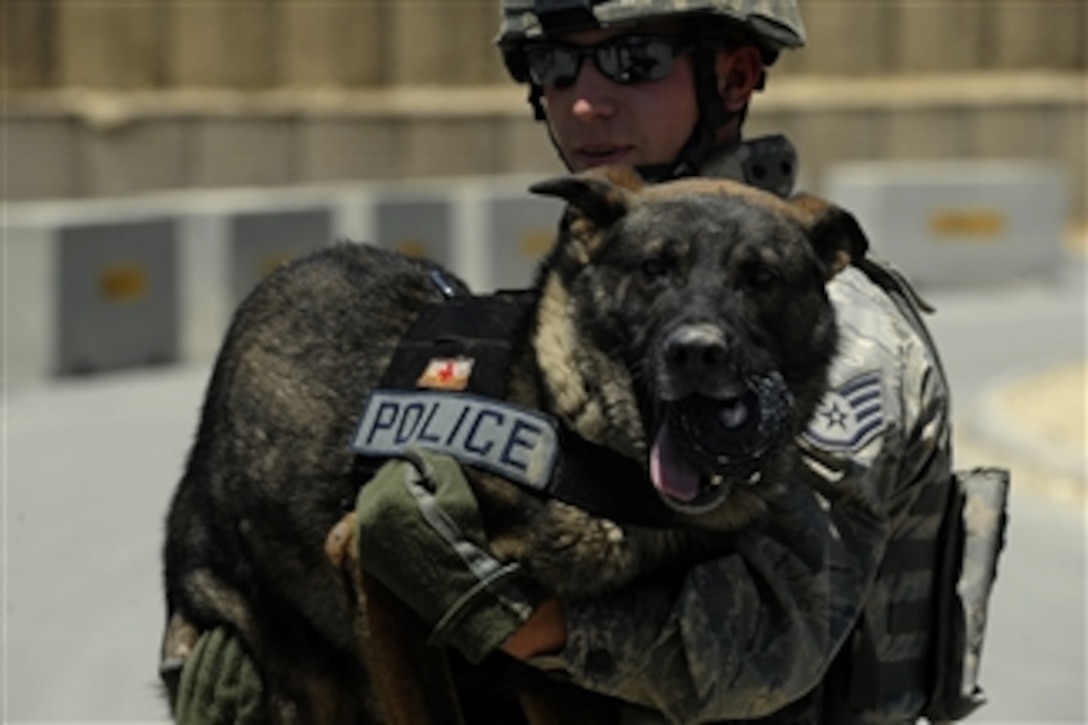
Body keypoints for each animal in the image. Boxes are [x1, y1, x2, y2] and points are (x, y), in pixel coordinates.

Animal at [158, 166, 866, 718]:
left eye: (761, 278)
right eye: (655, 269)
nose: (697, 352)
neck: (572, 434)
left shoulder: (560, 685)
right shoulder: (367, 558)